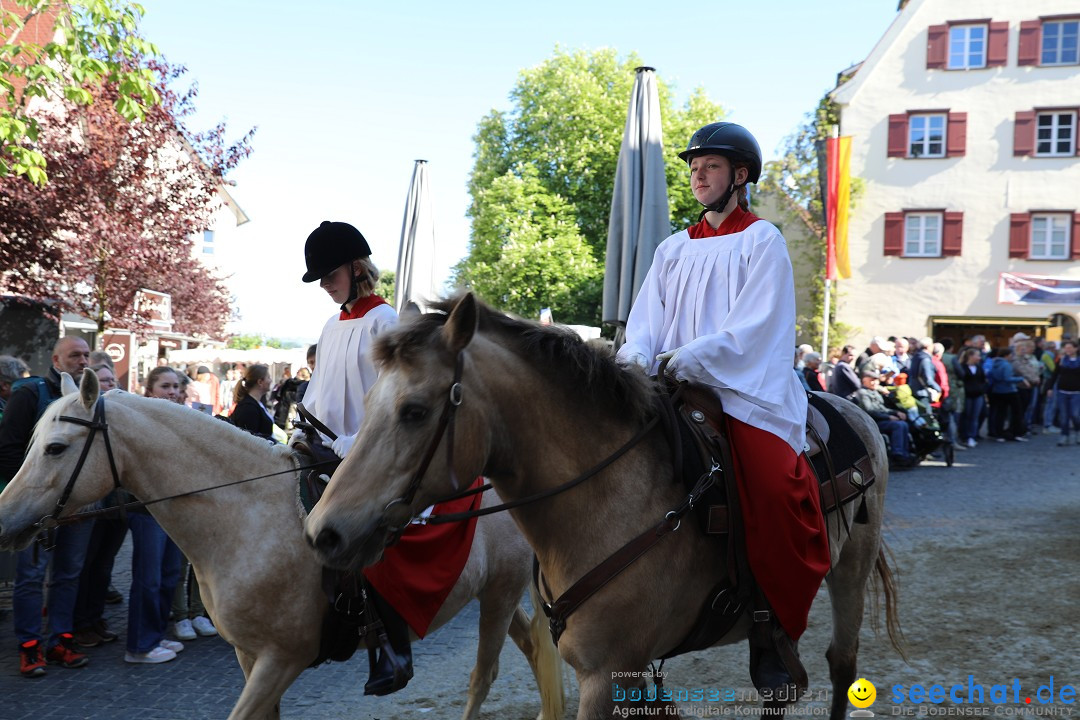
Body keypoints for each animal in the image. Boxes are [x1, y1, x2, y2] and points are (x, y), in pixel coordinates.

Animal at [0, 371, 570, 720]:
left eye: (56, 448)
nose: (5, 522)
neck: (245, 517)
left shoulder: (282, 659)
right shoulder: (250, 657)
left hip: (499, 593)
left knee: (484, 674)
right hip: (491, 593)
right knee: (532, 644)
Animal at [306, 293, 902, 720]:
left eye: (414, 410)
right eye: (367, 400)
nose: (322, 532)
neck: (605, 502)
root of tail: (856, 412)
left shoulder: (607, 674)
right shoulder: (618, 675)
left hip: (849, 569)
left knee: (840, 665)